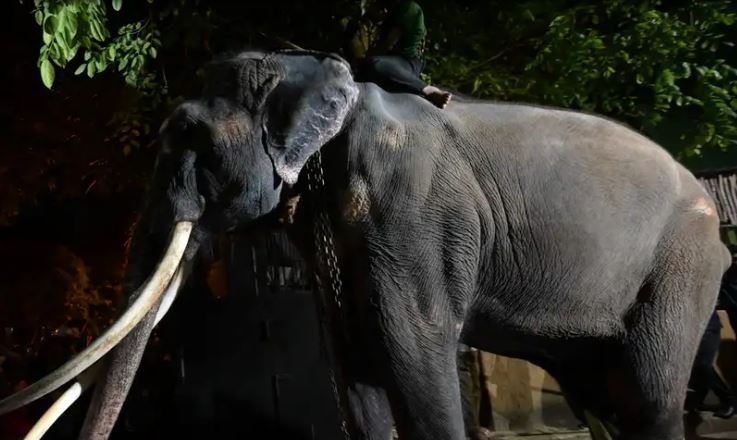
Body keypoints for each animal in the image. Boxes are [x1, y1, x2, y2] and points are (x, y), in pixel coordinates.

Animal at [0, 48, 730, 440]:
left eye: (190, 137)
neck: (321, 74)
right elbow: (351, 356)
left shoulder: (409, 207)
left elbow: (411, 346)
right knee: (600, 392)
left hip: (681, 266)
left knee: (647, 392)